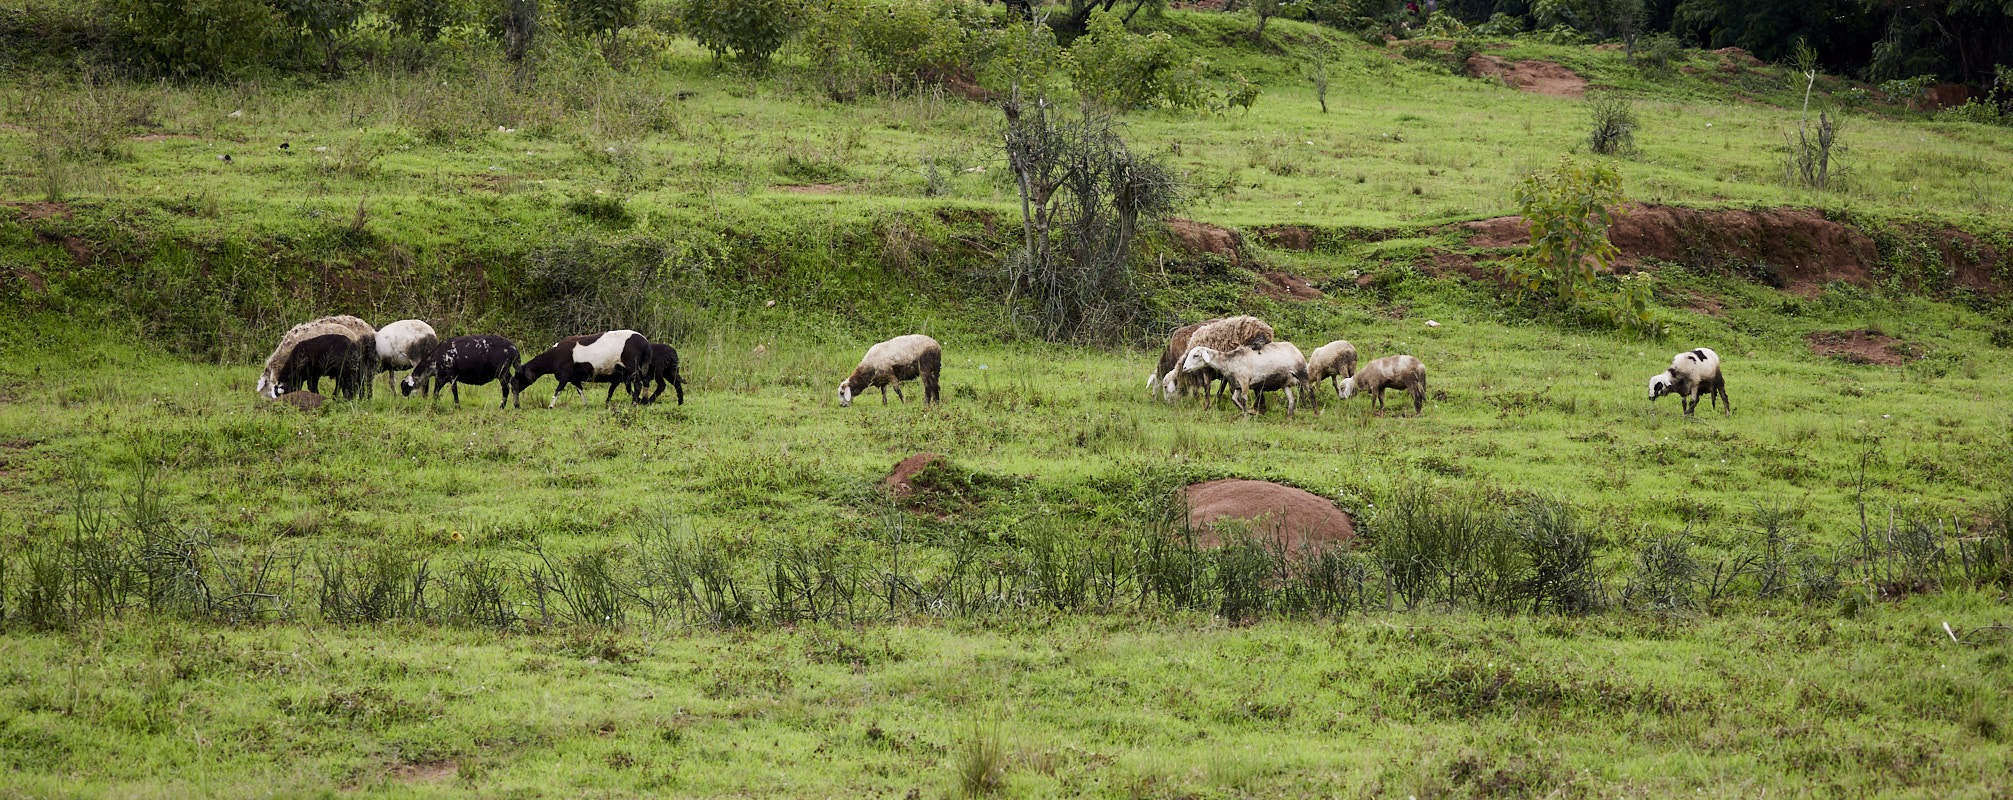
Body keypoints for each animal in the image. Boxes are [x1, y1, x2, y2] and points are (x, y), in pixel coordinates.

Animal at [511, 328, 652, 405]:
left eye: (519, 376)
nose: (514, 390)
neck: (554, 357)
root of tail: (645, 343)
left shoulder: (565, 374)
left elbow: (558, 390)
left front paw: (551, 405)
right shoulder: (574, 378)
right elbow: (580, 391)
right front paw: (585, 404)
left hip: (632, 367)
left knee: (638, 385)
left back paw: (634, 402)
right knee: (643, 383)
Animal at [1175, 340, 1312, 417]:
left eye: (1196, 355)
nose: (1184, 368)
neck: (1229, 361)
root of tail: (1295, 348)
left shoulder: (1245, 382)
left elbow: (1244, 400)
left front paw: (1246, 417)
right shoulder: (1237, 385)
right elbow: (1235, 400)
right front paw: (1252, 412)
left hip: (1301, 374)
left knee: (1310, 391)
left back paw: (1313, 412)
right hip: (1286, 383)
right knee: (1292, 398)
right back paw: (1290, 416)